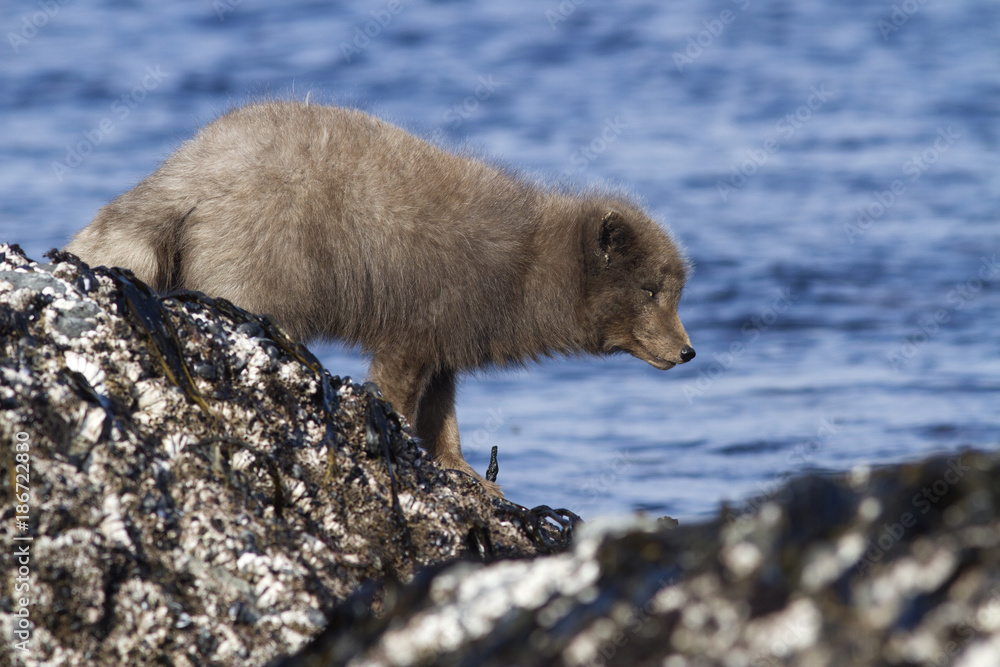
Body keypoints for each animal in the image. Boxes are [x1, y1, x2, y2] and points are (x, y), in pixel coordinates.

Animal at [66, 100, 695, 496]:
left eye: (675, 293)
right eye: (651, 291)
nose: (689, 351)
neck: (526, 264)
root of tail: (183, 169)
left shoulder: (446, 340)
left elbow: (443, 415)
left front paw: (464, 474)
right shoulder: (415, 330)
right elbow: (398, 395)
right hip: (253, 274)